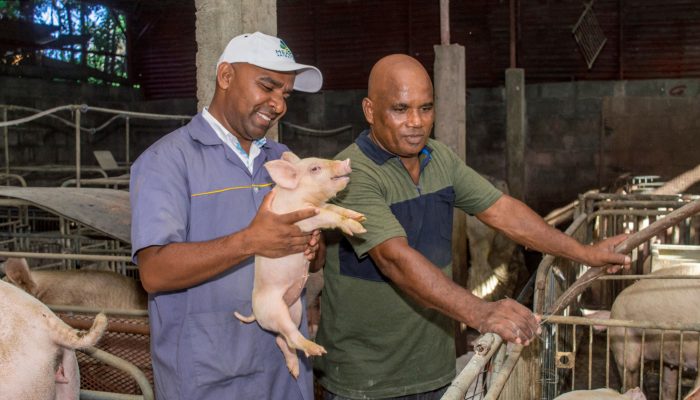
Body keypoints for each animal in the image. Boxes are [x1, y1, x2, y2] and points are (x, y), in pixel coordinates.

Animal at [234, 152, 366, 378]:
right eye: (315, 169)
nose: (346, 162)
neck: (305, 199)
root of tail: (255, 312)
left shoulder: (322, 206)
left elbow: (335, 207)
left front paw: (360, 217)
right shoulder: (304, 219)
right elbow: (329, 215)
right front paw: (358, 229)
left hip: (295, 310)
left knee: (283, 339)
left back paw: (294, 370)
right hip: (274, 309)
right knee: (291, 337)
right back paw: (317, 351)